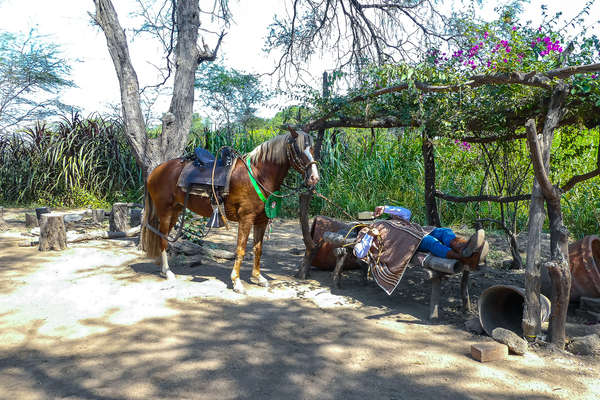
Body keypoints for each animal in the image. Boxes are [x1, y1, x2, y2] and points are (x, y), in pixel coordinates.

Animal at [141, 129, 318, 294]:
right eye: (298, 149)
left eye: (313, 148)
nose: (314, 178)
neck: (258, 174)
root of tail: (155, 171)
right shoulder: (246, 219)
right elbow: (240, 250)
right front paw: (237, 282)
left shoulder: (261, 220)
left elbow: (258, 249)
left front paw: (258, 277)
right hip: (165, 211)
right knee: (162, 238)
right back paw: (168, 272)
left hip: (176, 211)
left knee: (162, 236)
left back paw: (163, 270)